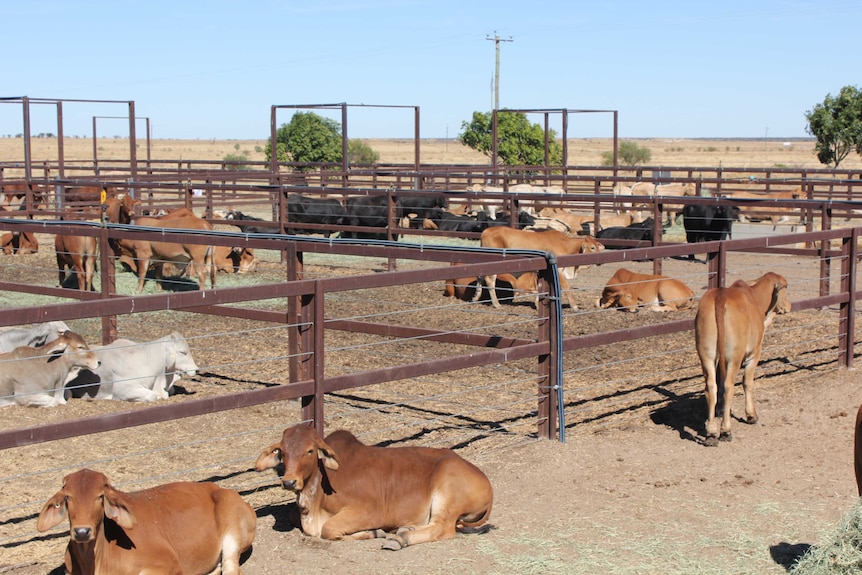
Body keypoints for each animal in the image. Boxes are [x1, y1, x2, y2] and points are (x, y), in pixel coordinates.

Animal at [37, 470, 258, 575]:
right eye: (68, 497)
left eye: (100, 496)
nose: (82, 532)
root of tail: (218, 488)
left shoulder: (168, 565)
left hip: (232, 530)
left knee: (232, 569)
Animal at [255, 426, 492, 552]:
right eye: (282, 451)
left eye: (310, 450)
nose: (289, 482)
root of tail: (486, 481)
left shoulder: (369, 511)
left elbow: (328, 530)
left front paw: (374, 532)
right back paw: (405, 529)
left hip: (447, 487)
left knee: (442, 529)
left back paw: (399, 539)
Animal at [476, 227, 604, 310]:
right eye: (592, 247)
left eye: (598, 247)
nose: (601, 261)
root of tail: (486, 231)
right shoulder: (558, 270)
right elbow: (565, 287)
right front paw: (574, 306)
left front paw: (538, 304)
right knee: (490, 281)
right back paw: (496, 304)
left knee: (480, 277)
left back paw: (476, 297)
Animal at [700, 272, 792, 448]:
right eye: (786, 287)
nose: (789, 306)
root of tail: (720, 297)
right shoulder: (754, 354)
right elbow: (748, 382)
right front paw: (751, 416)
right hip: (734, 357)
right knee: (728, 387)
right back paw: (726, 431)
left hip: (706, 355)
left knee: (711, 388)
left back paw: (711, 433)